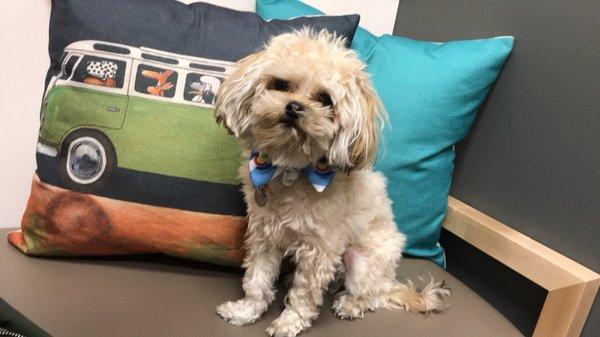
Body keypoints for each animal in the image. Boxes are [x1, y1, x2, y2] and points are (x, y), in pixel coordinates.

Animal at [214, 28, 450, 336]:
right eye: (281, 84)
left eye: (325, 99)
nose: (294, 107)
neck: (291, 170)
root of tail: (389, 281)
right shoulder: (265, 233)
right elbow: (257, 279)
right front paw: (246, 310)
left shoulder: (320, 249)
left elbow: (304, 294)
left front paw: (289, 322)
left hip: (362, 262)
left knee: (372, 296)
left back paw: (350, 304)